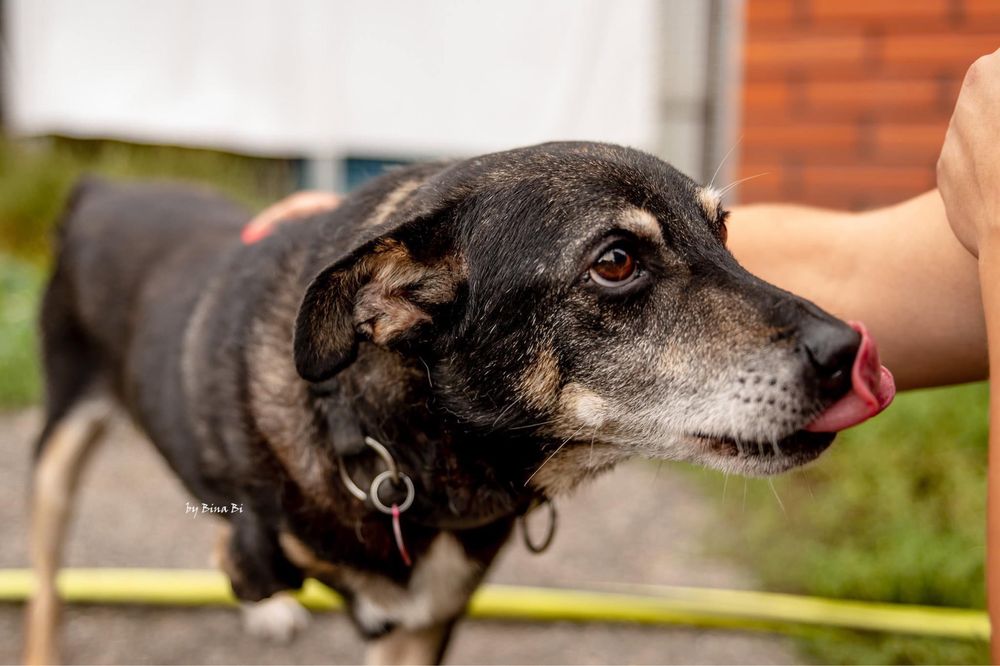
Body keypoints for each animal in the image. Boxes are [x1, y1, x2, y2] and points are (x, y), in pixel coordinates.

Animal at [23, 140, 896, 660]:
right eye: (616, 261)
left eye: (725, 232)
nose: (847, 351)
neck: (391, 443)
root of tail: (100, 187)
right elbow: (244, 550)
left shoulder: (424, 623)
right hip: (58, 448)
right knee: (49, 582)